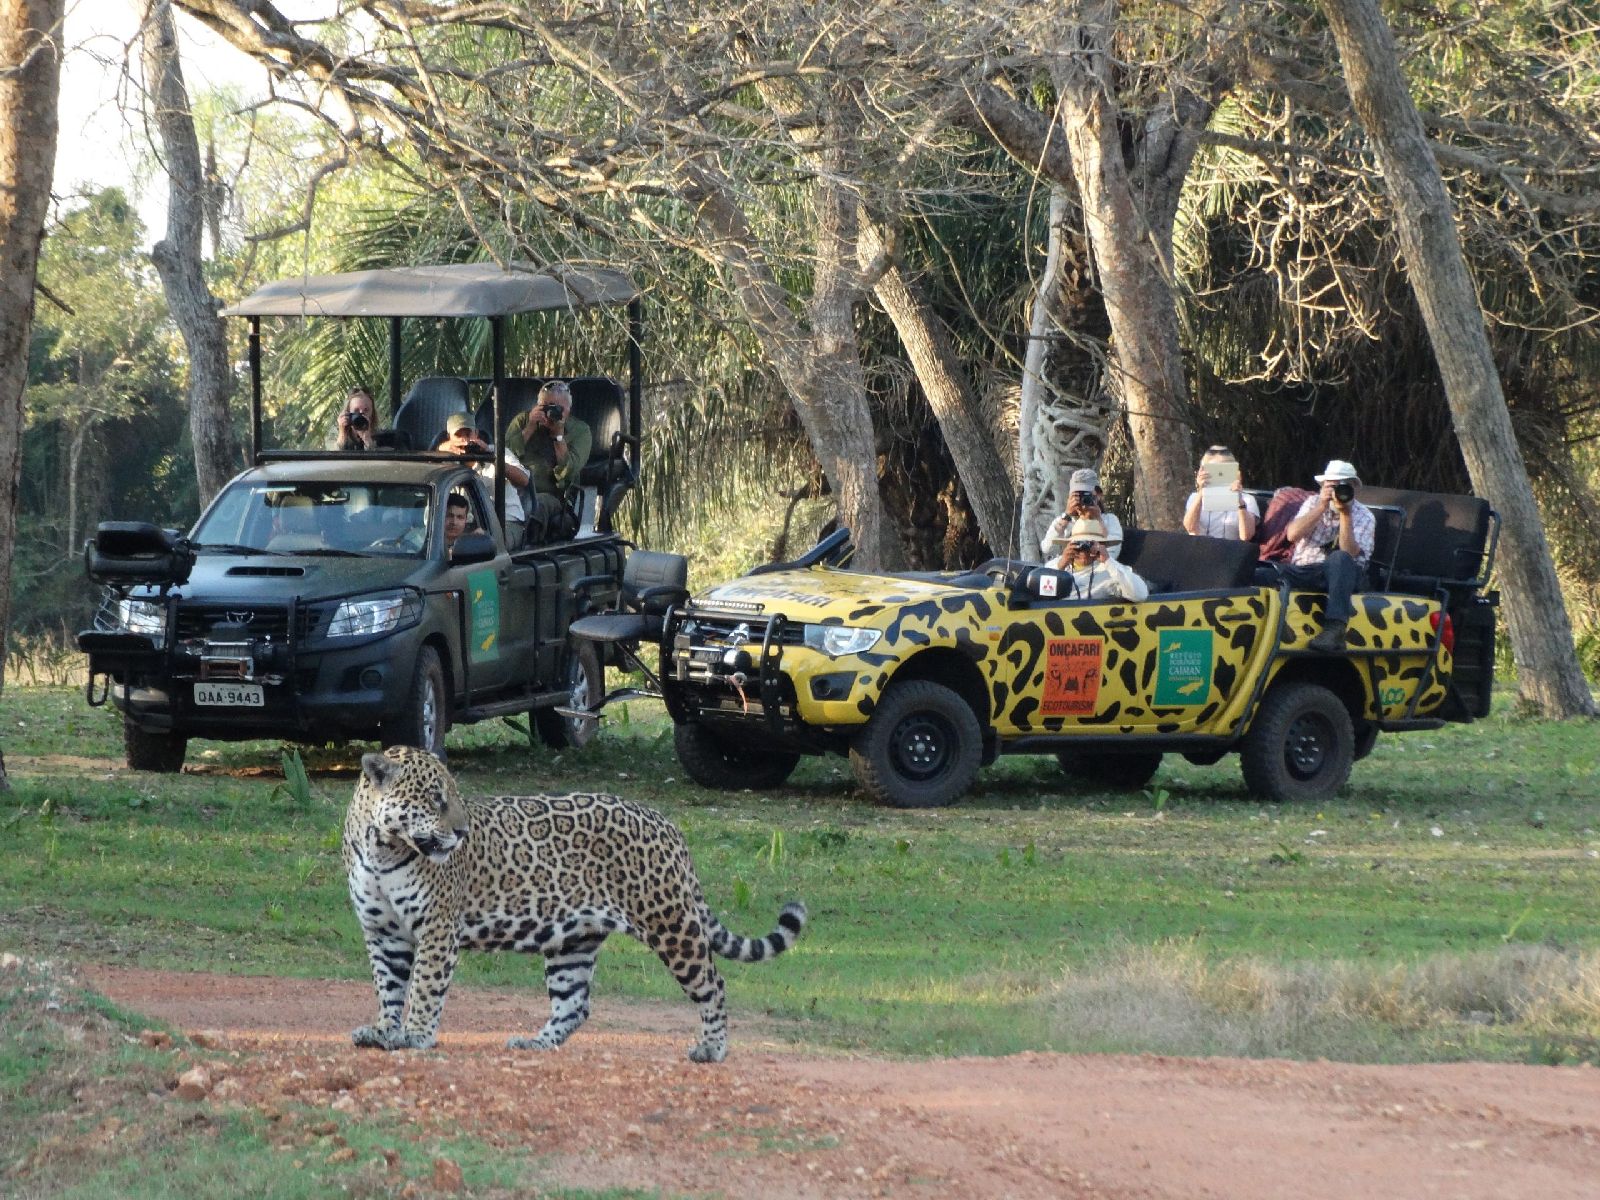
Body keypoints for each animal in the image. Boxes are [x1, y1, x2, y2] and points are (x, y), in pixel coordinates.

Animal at [341, 745, 807, 1062]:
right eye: (435, 798)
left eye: (454, 796)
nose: (461, 832)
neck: (383, 850)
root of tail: (668, 825)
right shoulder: (382, 932)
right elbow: (389, 985)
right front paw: (384, 1031)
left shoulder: (438, 928)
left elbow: (424, 986)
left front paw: (416, 1035)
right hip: (573, 940)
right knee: (574, 1004)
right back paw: (535, 1042)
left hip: (670, 922)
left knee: (713, 984)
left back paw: (712, 1049)